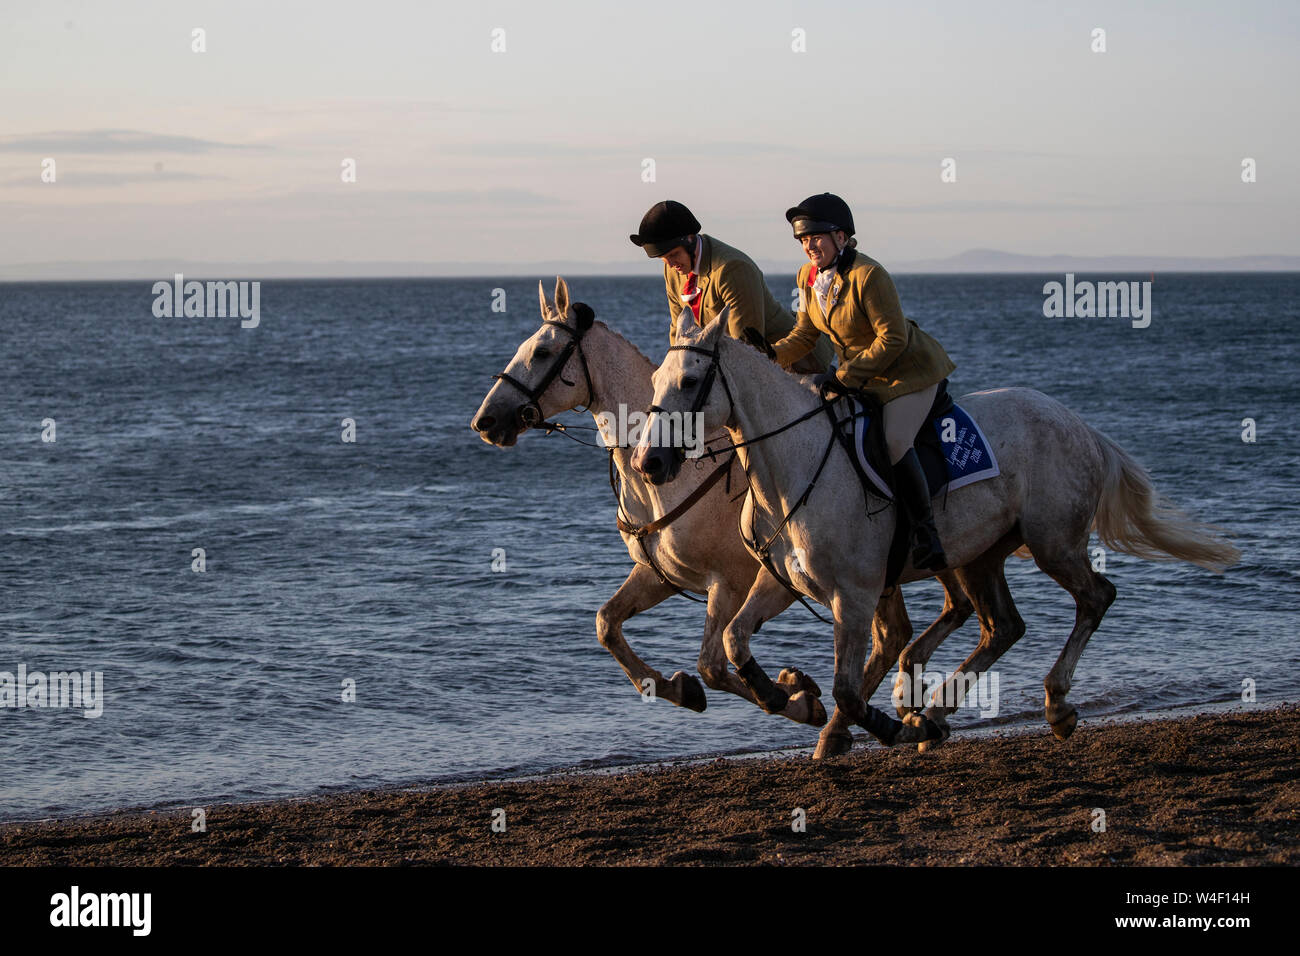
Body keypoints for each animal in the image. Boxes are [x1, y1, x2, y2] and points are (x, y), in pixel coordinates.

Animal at [470, 277, 976, 745]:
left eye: (541, 352)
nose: (485, 421)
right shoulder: (661, 576)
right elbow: (607, 625)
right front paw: (685, 689)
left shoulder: (731, 583)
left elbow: (712, 663)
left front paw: (795, 698)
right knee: (909, 628)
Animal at [633, 308, 1240, 751]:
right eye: (656, 380)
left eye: (689, 381)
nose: (649, 463)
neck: (793, 463)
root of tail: (1081, 426)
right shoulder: (780, 583)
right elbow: (731, 643)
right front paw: (789, 697)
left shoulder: (853, 596)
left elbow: (848, 689)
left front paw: (869, 721)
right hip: (979, 555)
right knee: (1003, 626)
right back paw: (936, 713)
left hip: (1052, 543)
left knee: (1095, 597)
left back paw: (1052, 704)